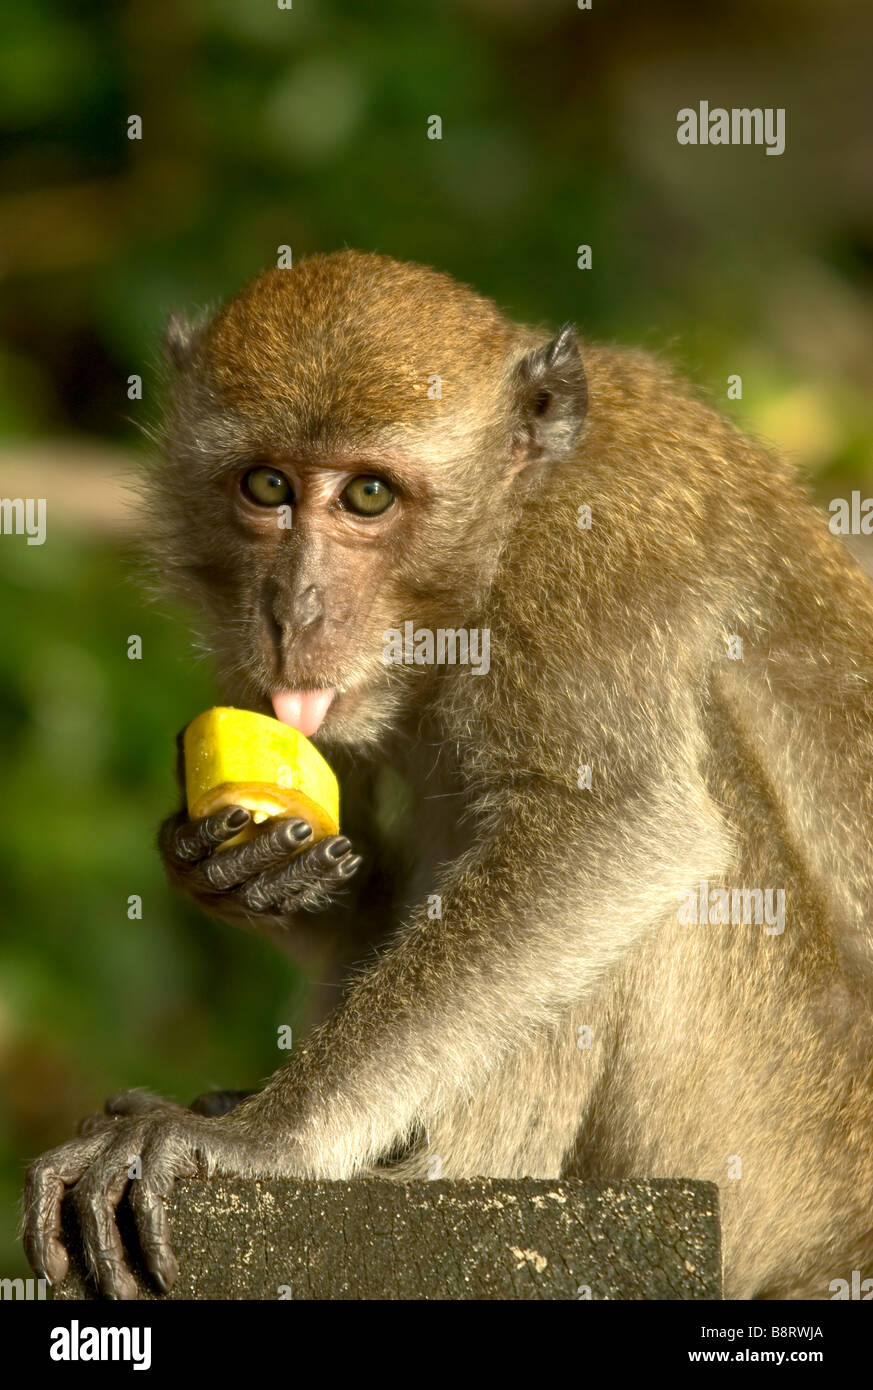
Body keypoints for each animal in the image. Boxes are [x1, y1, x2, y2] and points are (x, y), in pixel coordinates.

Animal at [22, 250, 873, 1301]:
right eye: (266, 485)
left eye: (368, 497)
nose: (293, 610)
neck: (507, 518)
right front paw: (254, 876)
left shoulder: (594, 559)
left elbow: (615, 829)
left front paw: (263, 1141)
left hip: (783, 1158)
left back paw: (423, 1174)